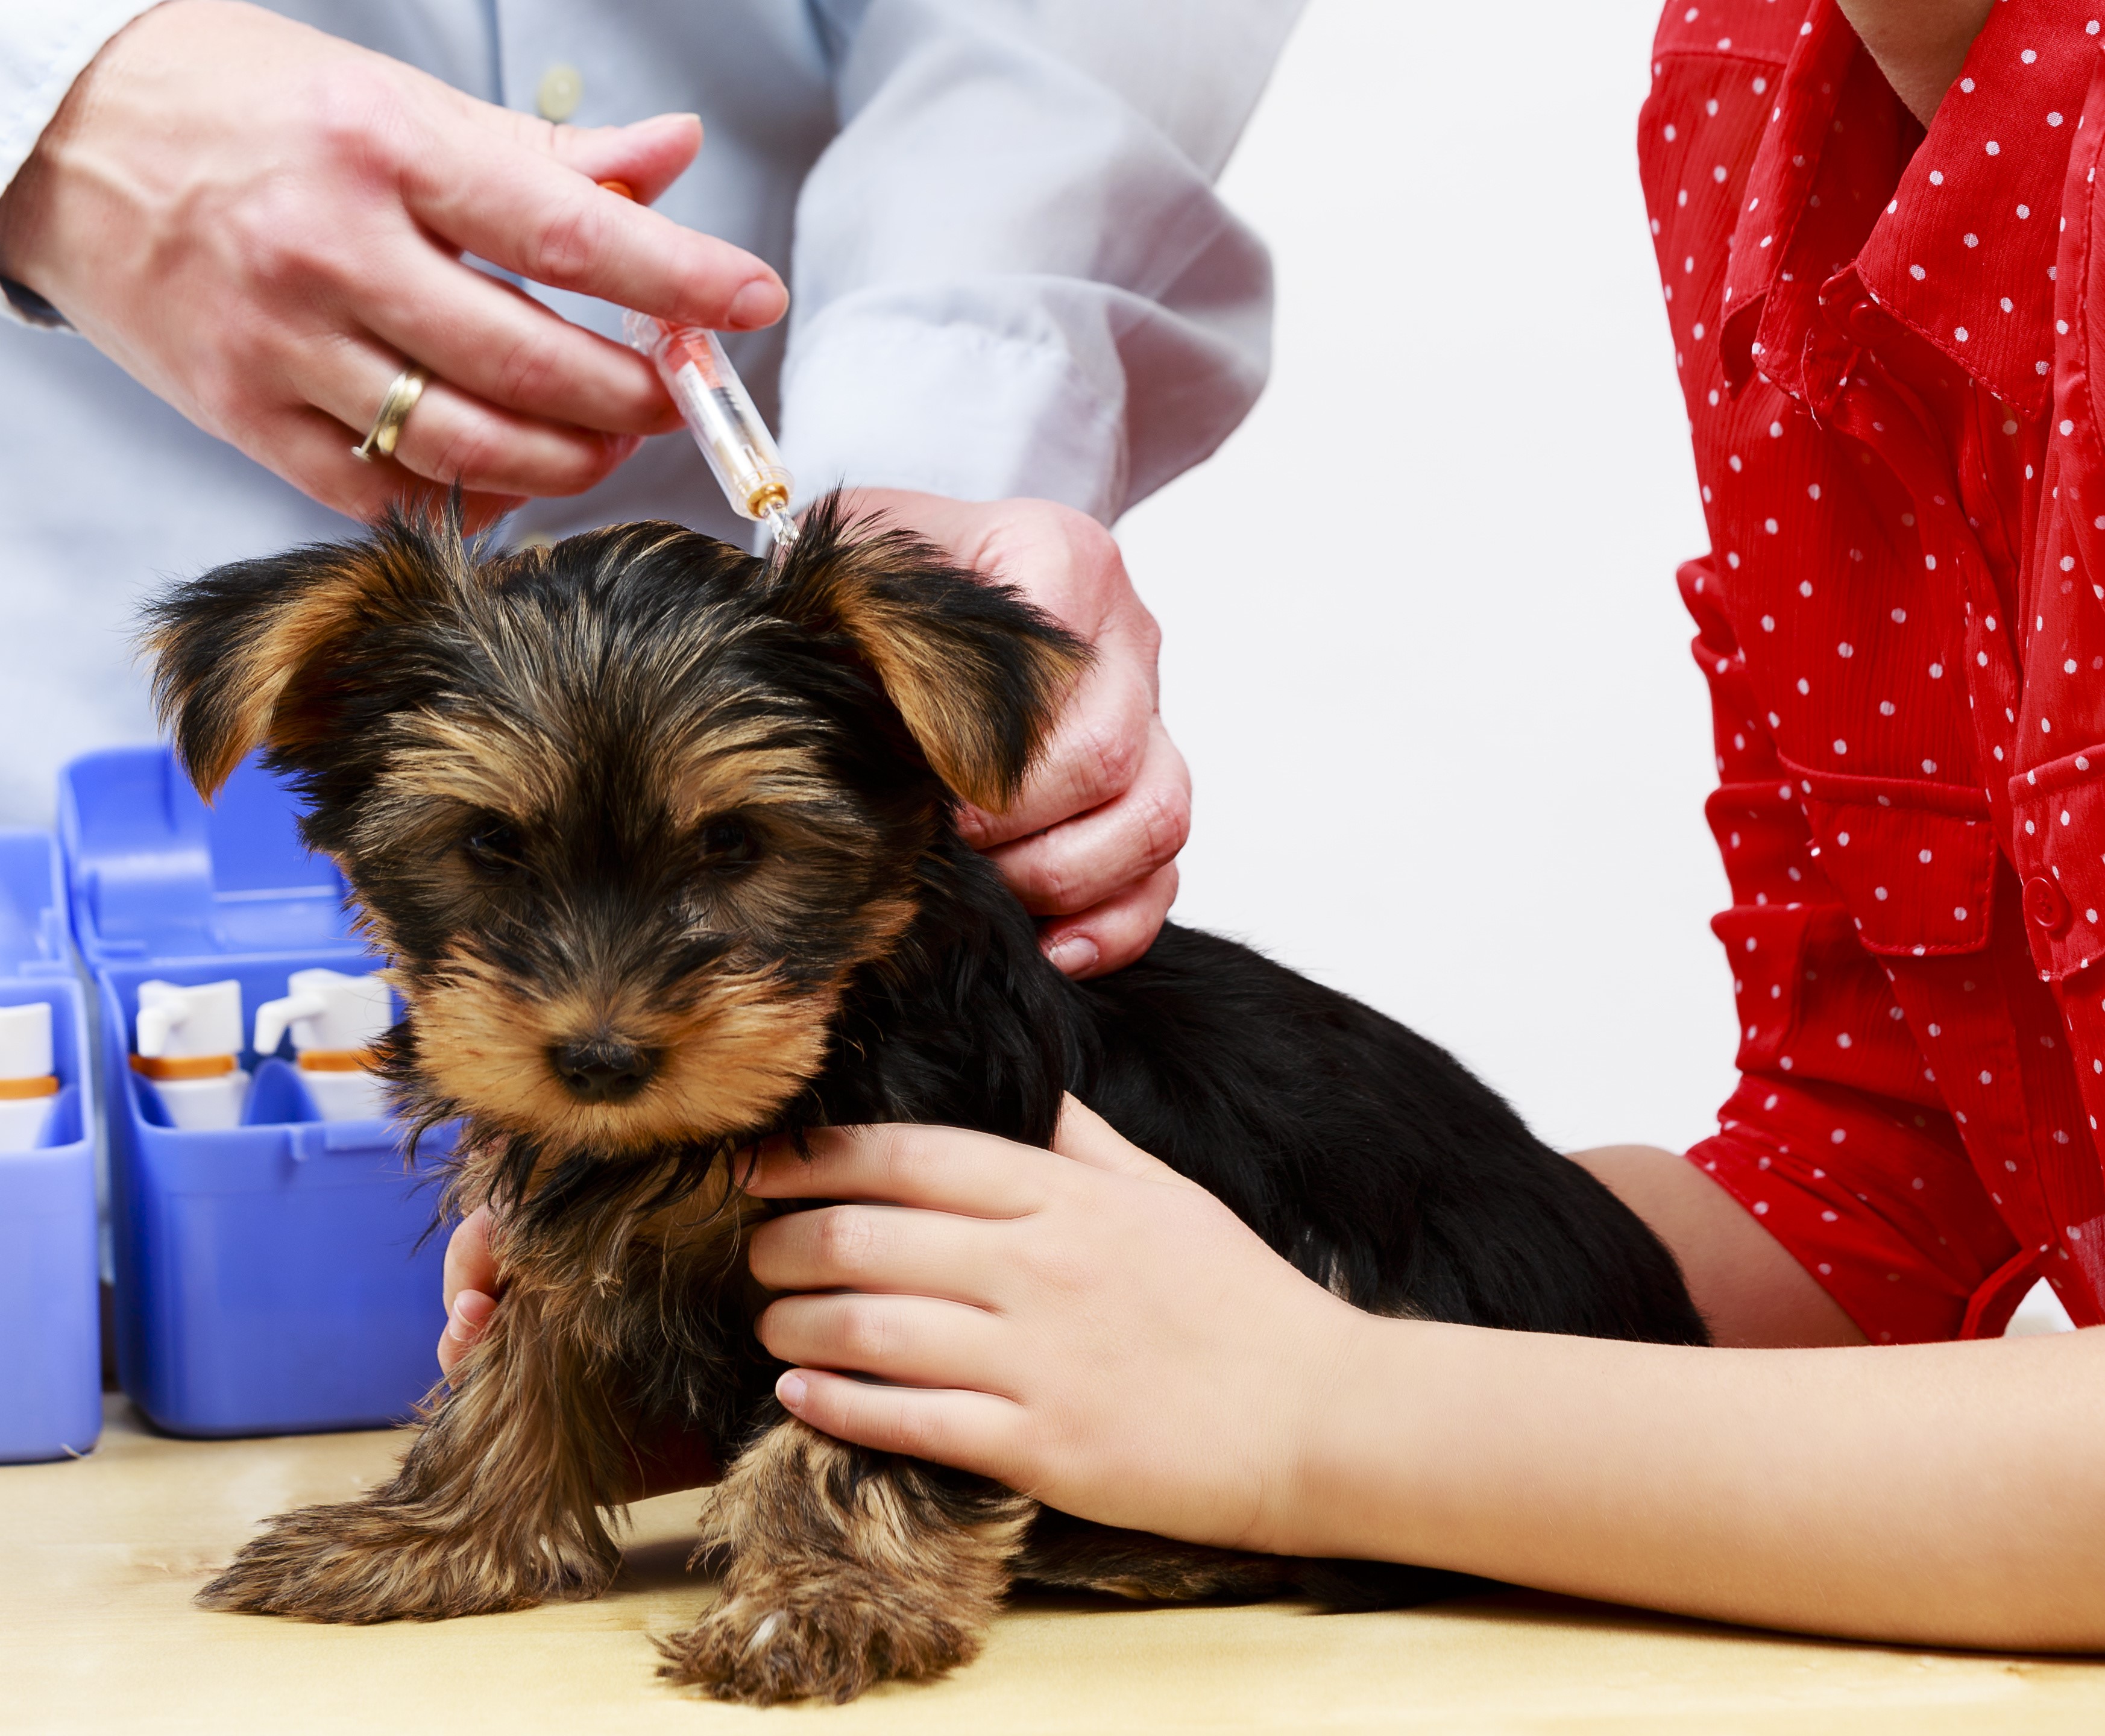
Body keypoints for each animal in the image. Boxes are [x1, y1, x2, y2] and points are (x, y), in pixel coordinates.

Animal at [148, 494, 1701, 1700]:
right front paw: (429, 1534)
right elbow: (512, 1368)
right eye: (485, 844)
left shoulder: (910, 1250)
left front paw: (819, 1602)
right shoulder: (575, 1217)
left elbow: (844, 1435)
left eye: (735, 845)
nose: (597, 1058)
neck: (817, 1044)